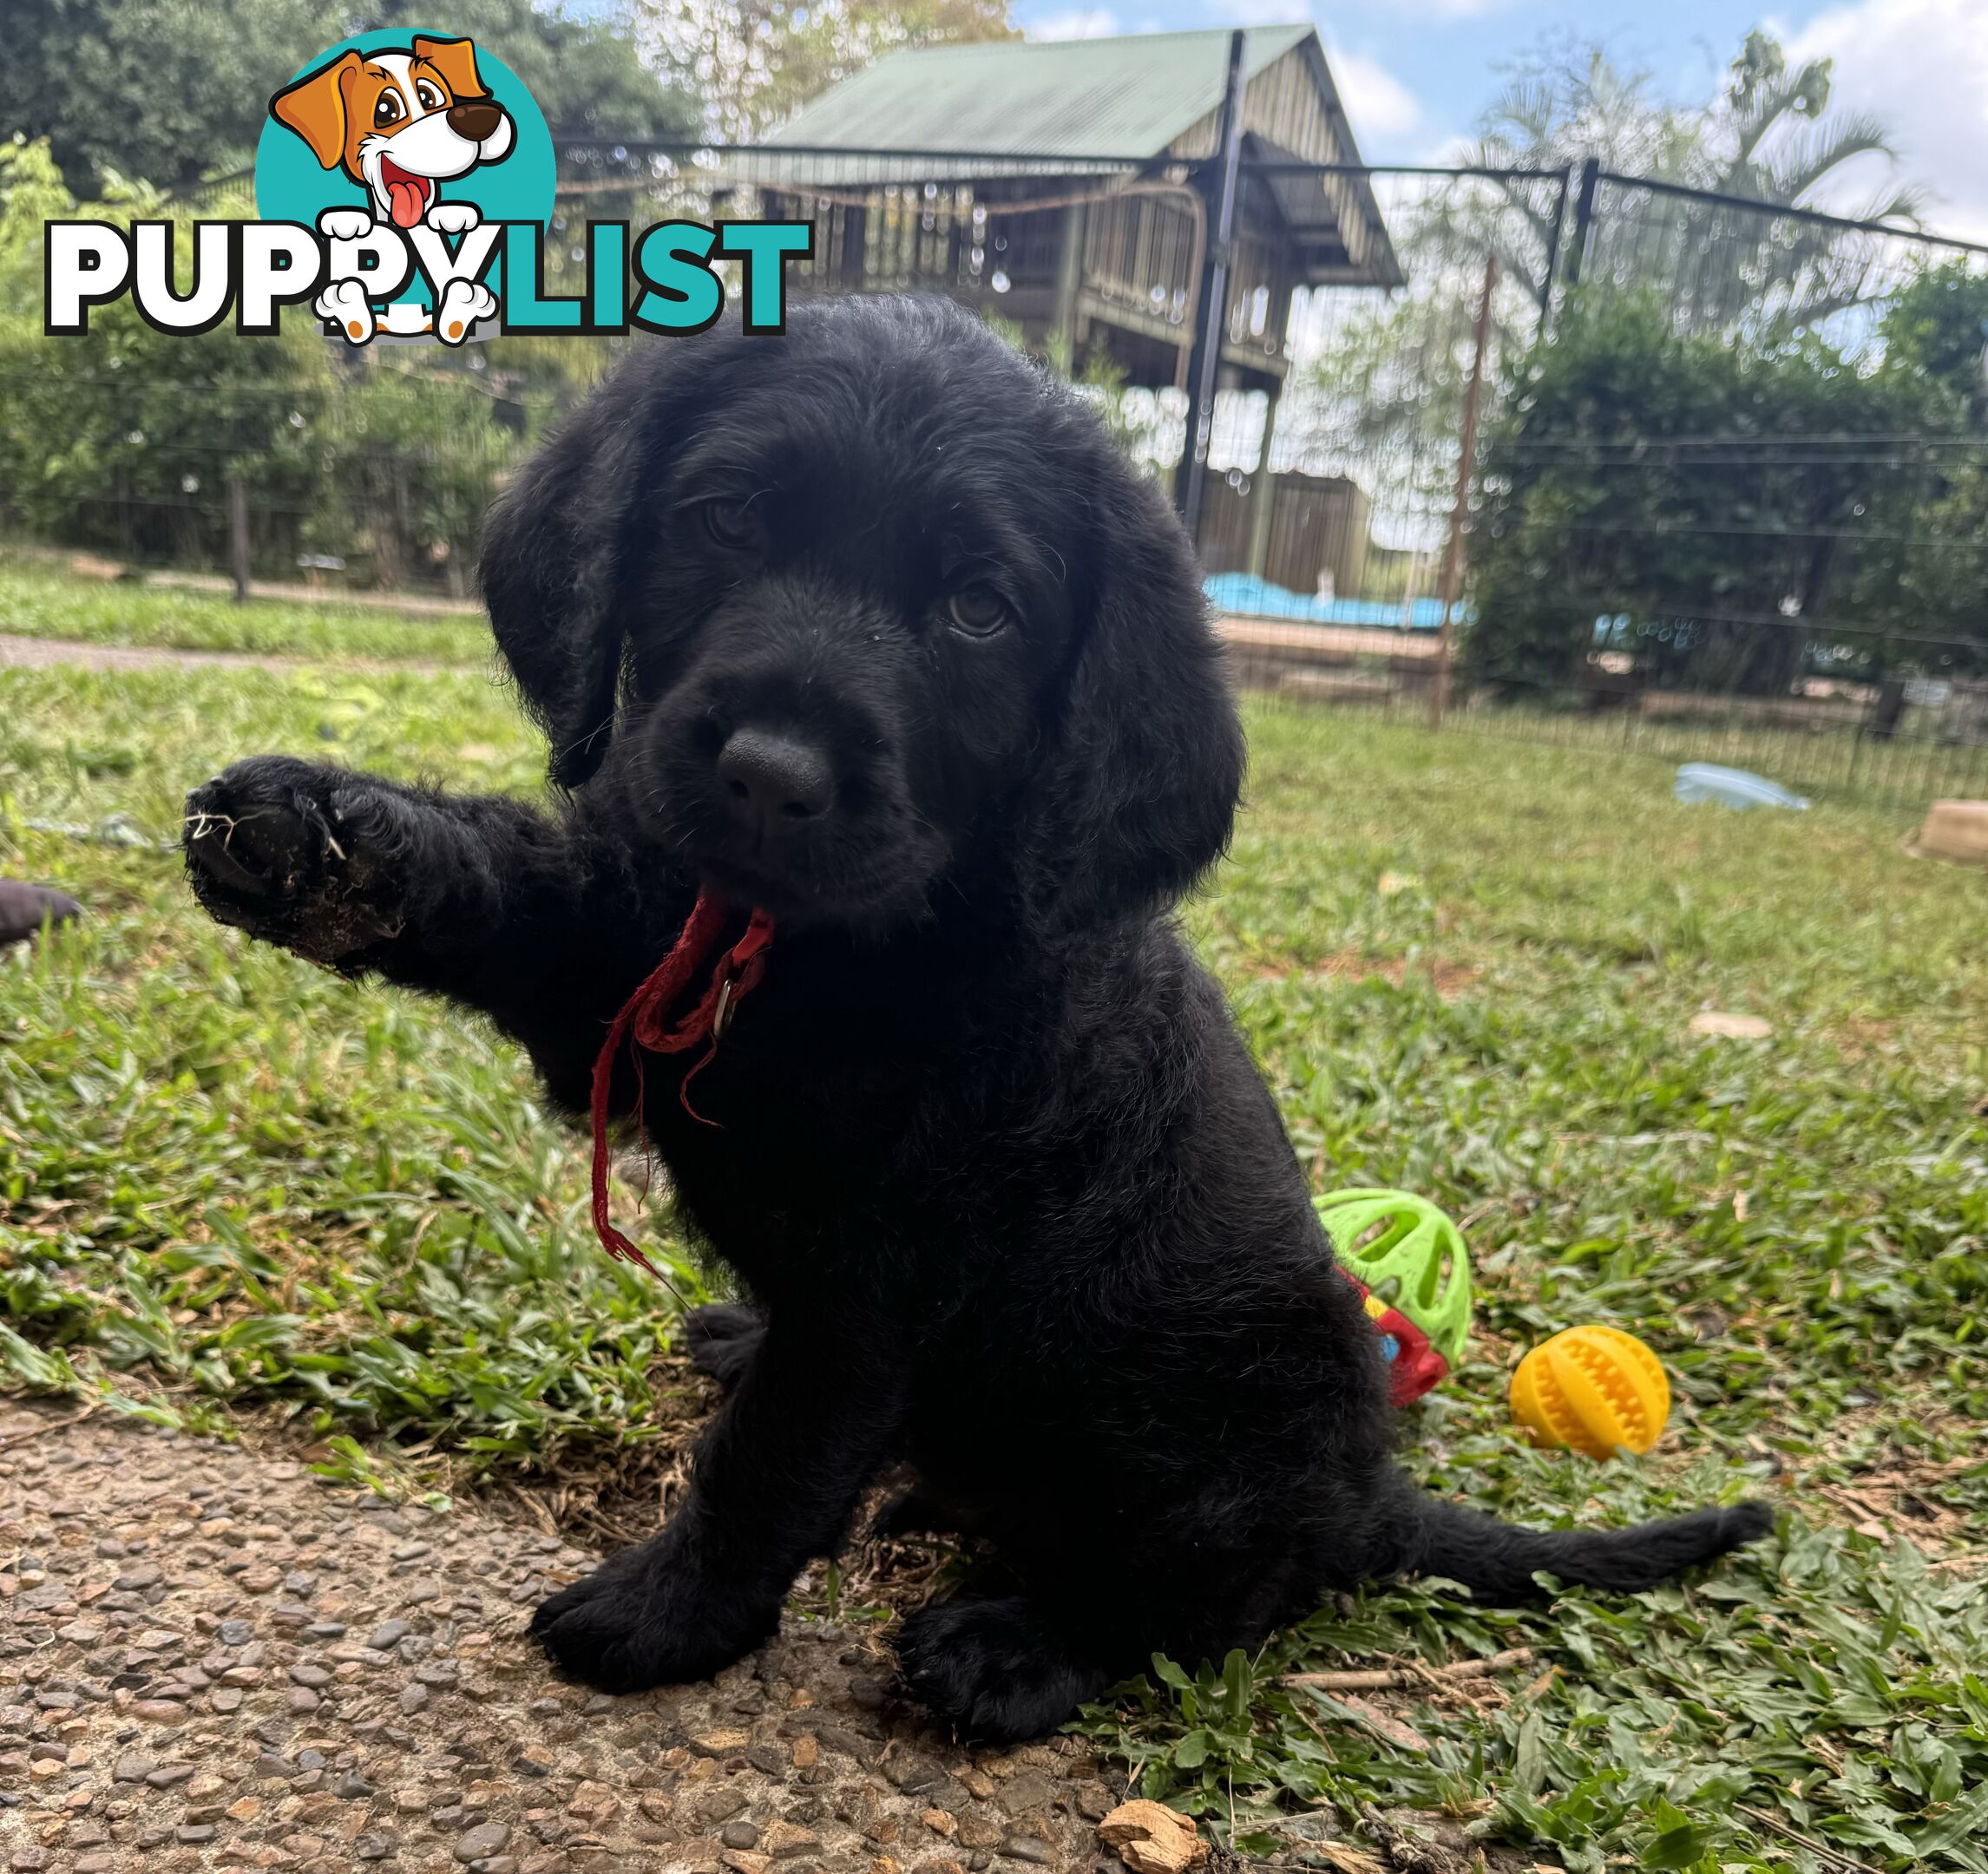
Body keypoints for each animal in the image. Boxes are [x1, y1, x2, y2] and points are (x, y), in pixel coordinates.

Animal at [189, 294, 1773, 1740]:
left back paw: (1019, 1648)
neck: (829, 949)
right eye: (726, 519)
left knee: (1214, 1599)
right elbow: (520, 891)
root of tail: (1374, 1494)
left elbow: (770, 1463)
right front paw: (326, 841)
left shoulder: (878, 1285)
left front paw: (667, 1614)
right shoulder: (637, 947)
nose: (769, 772)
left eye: (977, 608)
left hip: (1218, 1434)